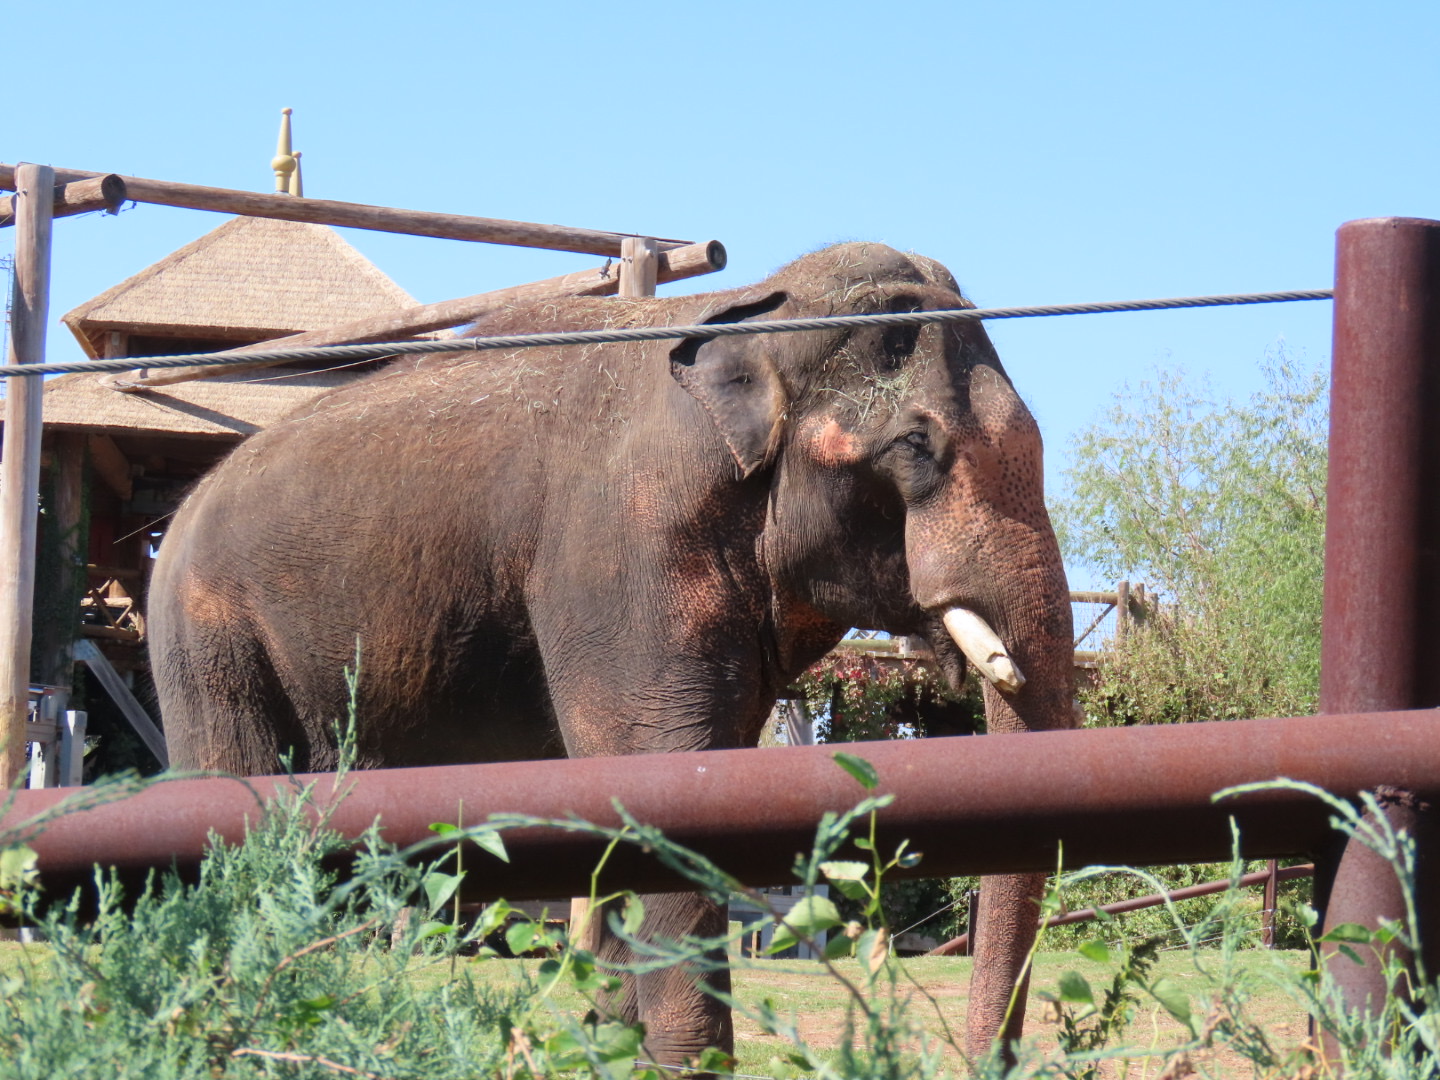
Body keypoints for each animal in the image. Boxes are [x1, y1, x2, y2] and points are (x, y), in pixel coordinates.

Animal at [149, 242, 1075, 1064]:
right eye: (917, 447)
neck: (756, 315)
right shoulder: (619, 549)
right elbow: (659, 778)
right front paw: (680, 1059)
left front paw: (616, 1043)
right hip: (206, 634)